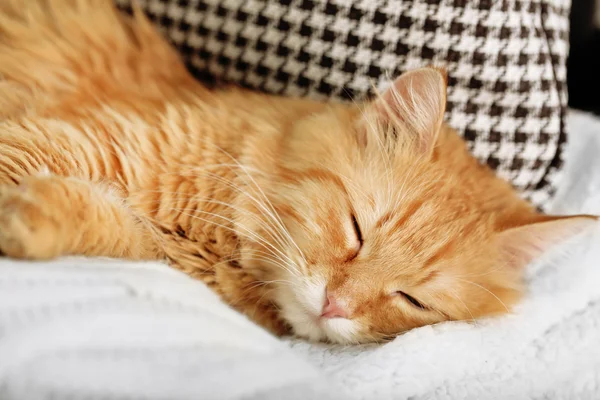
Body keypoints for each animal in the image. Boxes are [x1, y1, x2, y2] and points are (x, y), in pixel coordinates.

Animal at [0, 0, 596, 344]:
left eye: (413, 299)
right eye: (356, 231)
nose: (336, 305)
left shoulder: (149, 242)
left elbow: (99, 223)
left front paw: (32, 218)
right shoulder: (81, 140)